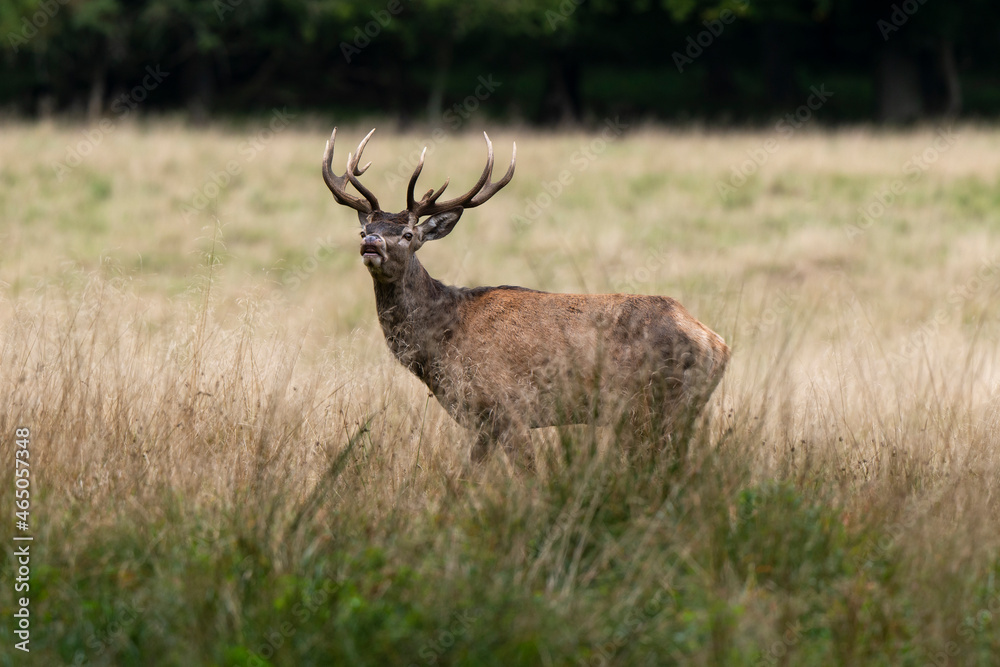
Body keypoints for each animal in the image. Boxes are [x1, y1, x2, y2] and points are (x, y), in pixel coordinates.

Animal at [320, 128, 728, 462]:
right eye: (364, 230)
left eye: (407, 234)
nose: (372, 243)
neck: (441, 344)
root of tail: (716, 343)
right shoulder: (480, 421)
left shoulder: (505, 407)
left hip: (657, 404)